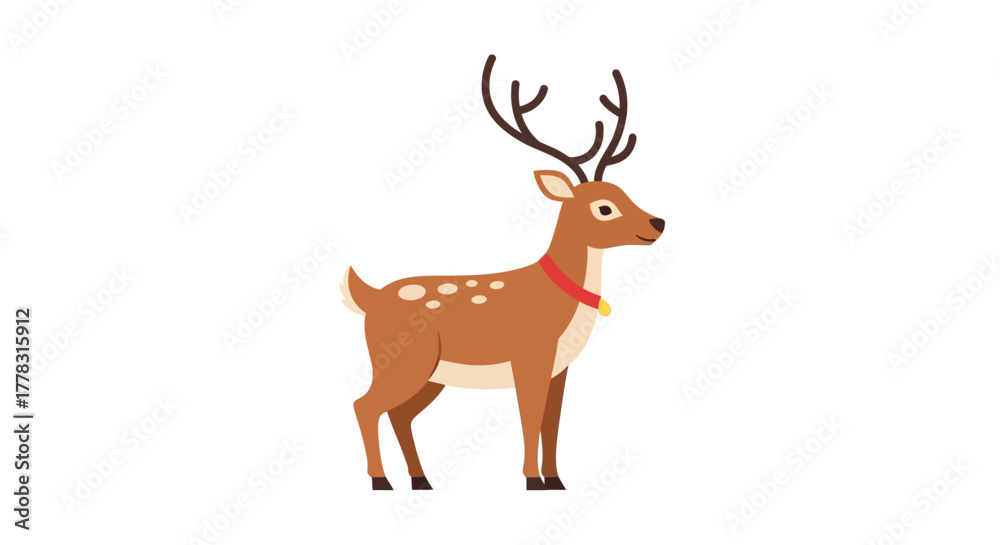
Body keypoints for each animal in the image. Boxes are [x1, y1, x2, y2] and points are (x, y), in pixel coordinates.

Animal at [343, 54, 662, 491]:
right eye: (603, 207)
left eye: (624, 192)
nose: (658, 222)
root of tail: (368, 297)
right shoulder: (529, 355)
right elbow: (530, 418)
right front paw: (532, 481)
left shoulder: (560, 368)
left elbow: (552, 424)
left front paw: (555, 480)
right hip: (400, 359)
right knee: (364, 405)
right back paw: (381, 481)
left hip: (431, 373)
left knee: (399, 414)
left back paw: (421, 480)